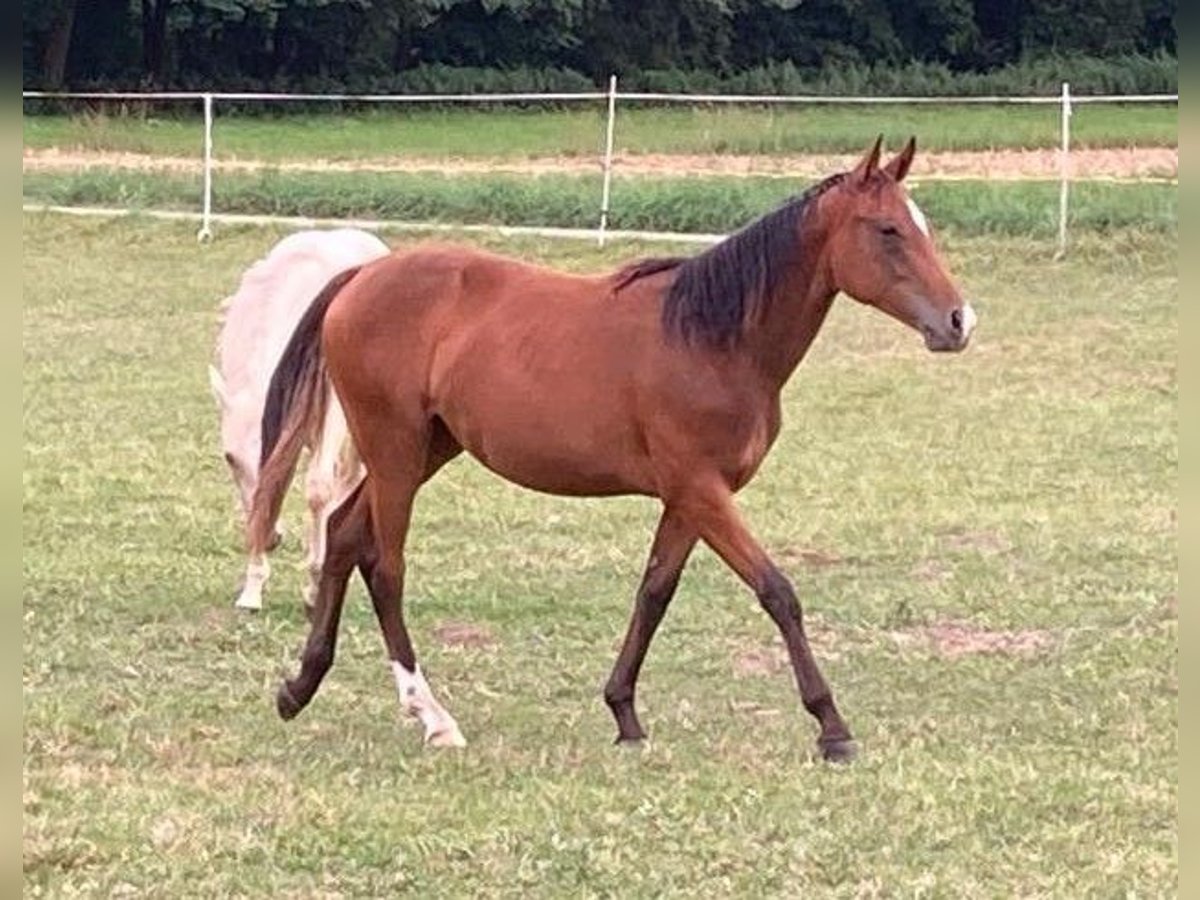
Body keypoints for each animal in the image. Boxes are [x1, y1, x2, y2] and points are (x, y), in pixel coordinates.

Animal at [250, 139, 974, 763]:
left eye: (922, 226)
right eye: (887, 230)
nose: (959, 321)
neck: (713, 339)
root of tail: (362, 276)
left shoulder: (687, 500)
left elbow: (653, 593)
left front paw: (624, 713)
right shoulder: (702, 491)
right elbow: (777, 591)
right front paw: (832, 727)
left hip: (425, 449)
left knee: (345, 537)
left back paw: (300, 687)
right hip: (395, 452)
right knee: (387, 567)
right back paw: (432, 715)